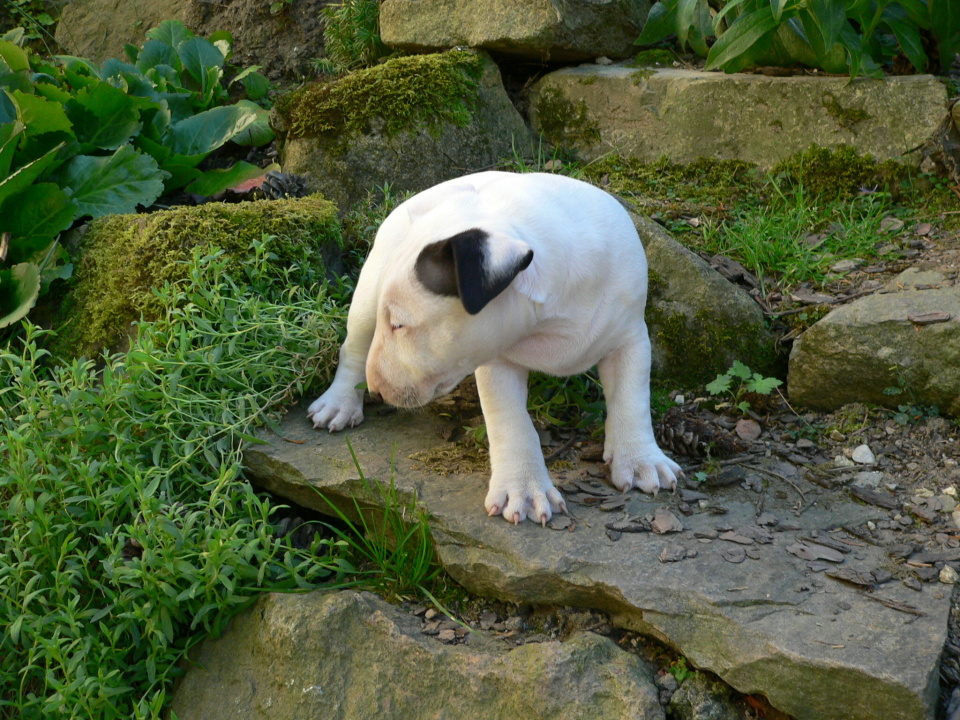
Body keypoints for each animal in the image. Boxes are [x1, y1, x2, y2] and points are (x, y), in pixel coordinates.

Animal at [307, 171, 682, 525]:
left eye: (399, 324)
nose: (377, 390)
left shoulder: (630, 336)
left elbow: (632, 398)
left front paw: (641, 460)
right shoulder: (496, 359)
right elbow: (512, 421)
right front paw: (525, 489)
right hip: (369, 287)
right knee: (354, 348)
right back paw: (339, 403)